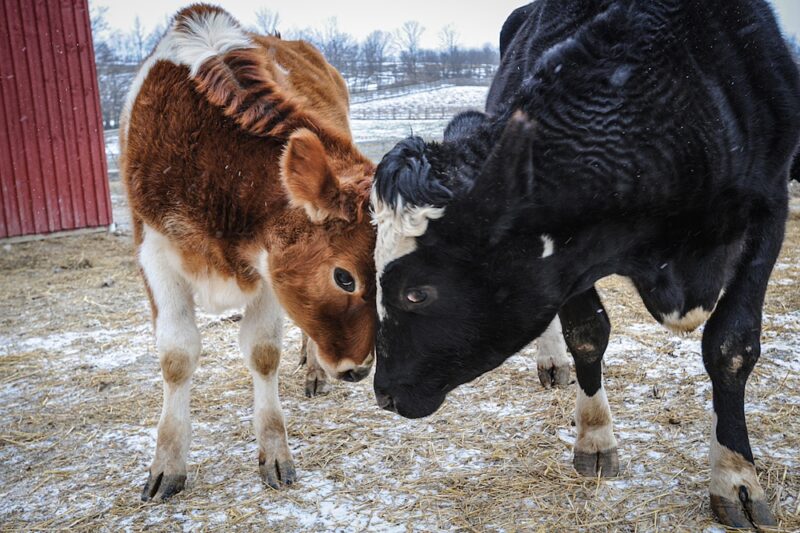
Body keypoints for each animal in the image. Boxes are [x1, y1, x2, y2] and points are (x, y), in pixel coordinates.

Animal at [122, 5, 378, 498]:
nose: (359, 369)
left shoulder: (269, 268)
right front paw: (167, 463)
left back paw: (314, 368)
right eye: (344, 277)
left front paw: (275, 452)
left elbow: (263, 353)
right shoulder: (154, 253)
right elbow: (177, 357)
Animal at [370, 0, 800, 528]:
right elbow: (588, 333)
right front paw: (594, 440)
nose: (384, 393)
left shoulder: (771, 202)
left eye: (417, 292)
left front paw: (737, 478)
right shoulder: (572, 259)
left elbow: (732, 344)